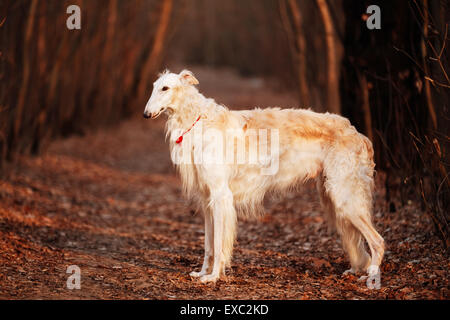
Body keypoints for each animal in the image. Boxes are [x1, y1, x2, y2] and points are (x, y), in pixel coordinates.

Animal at [143, 69, 384, 282]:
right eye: (154, 87)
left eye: (165, 88)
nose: (145, 114)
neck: (199, 122)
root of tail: (359, 134)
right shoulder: (207, 199)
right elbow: (208, 245)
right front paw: (202, 273)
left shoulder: (220, 196)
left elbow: (219, 245)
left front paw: (213, 277)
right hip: (333, 197)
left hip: (345, 198)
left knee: (378, 241)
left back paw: (371, 276)